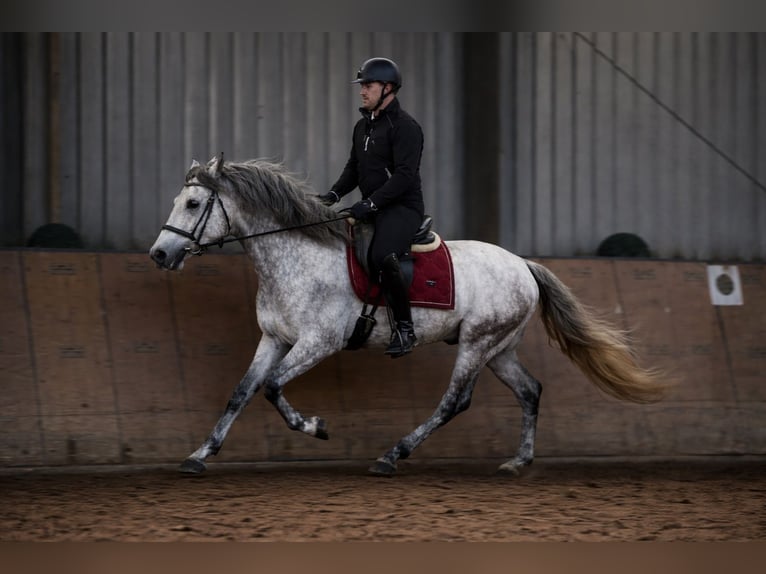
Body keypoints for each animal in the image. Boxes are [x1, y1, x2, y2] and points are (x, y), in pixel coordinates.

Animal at [149, 154, 666, 476]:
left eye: (192, 203)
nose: (159, 254)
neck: (296, 256)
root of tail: (523, 265)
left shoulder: (318, 342)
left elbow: (273, 387)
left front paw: (316, 428)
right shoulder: (274, 339)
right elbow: (242, 392)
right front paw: (199, 454)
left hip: (477, 344)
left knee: (453, 402)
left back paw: (391, 456)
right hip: (499, 349)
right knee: (530, 391)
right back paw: (518, 462)